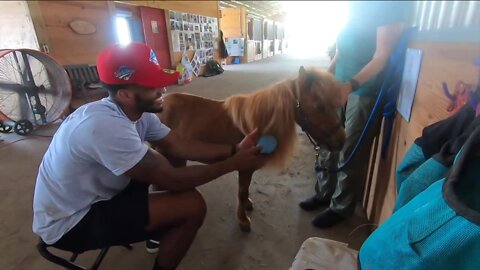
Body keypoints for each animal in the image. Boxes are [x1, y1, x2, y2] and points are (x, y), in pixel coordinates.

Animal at [158, 66, 344, 231]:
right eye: (319, 106)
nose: (342, 139)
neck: (257, 123)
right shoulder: (245, 167)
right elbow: (241, 192)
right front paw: (243, 220)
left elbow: (246, 189)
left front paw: (247, 204)